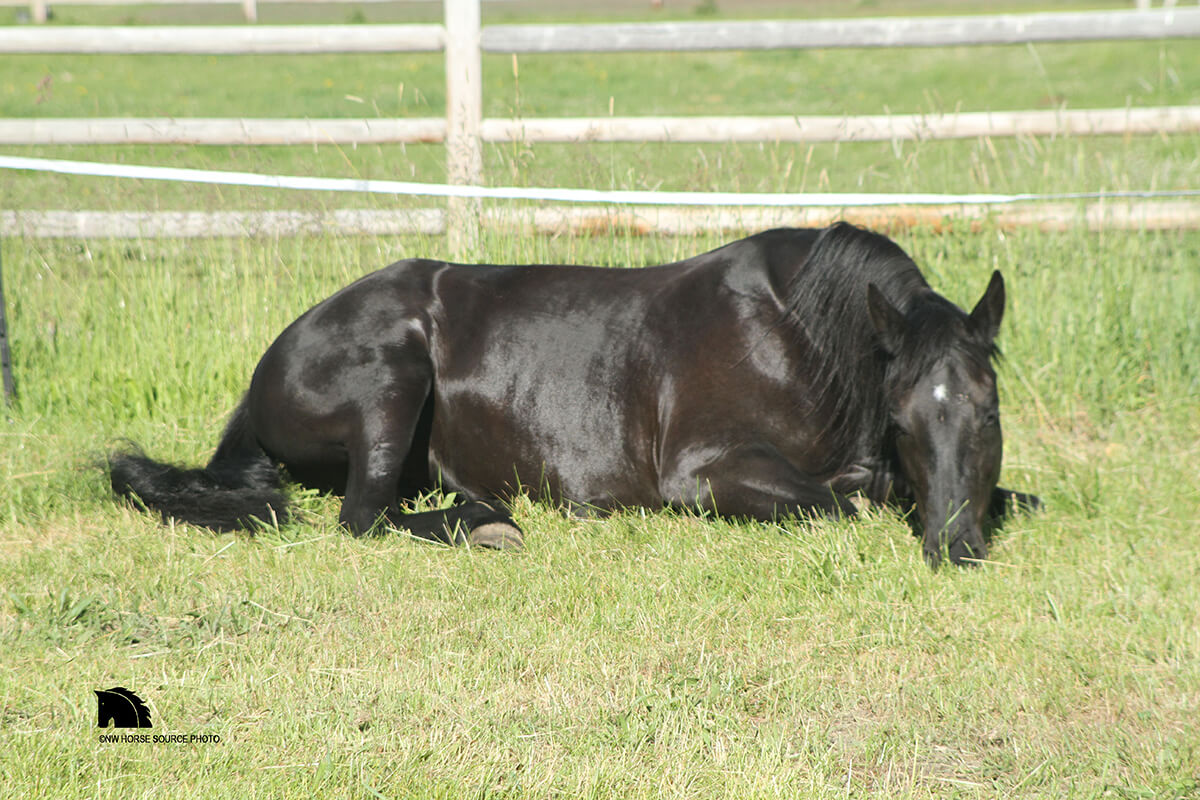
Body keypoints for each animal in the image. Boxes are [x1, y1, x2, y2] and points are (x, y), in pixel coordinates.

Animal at [108, 222, 1038, 566]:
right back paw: (485, 524)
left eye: (988, 412)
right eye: (904, 418)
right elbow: (840, 501)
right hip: (390, 380)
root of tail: (270, 363)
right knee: (363, 516)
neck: (799, 336)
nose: (957, 548)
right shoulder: (704, 473)